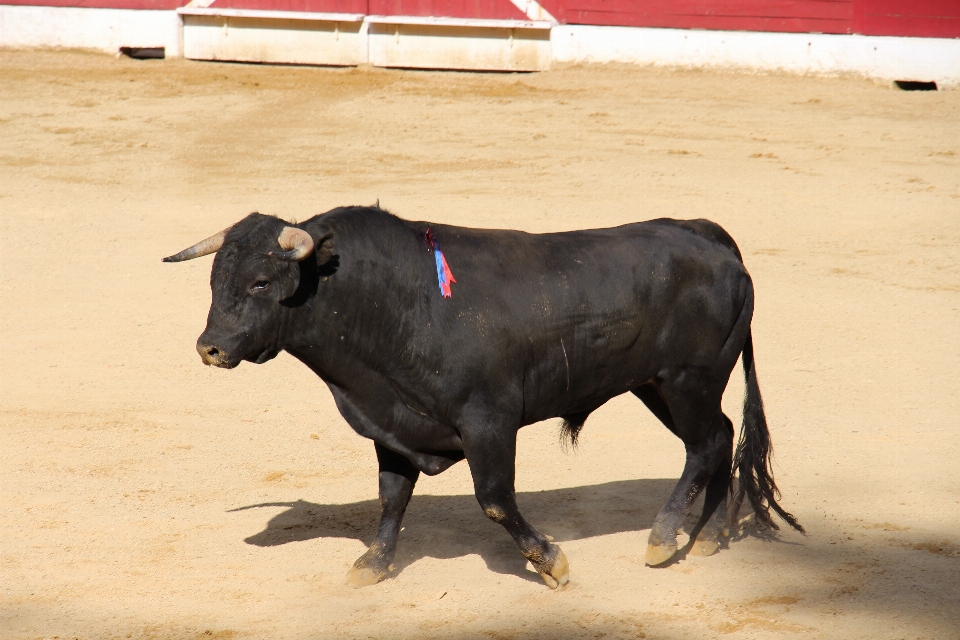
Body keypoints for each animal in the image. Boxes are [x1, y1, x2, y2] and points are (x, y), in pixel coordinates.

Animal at [165, 208, 804, 588]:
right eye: (216, 279)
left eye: (260, 282)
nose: (209, 347)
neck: (405, 303)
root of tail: (706, 234)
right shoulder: (395, 423)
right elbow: (391, 497)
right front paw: (373, 564)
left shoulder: (488, 422)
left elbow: (495, 500)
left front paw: (551, 562)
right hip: (659, 387)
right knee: (719, 438)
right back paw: (708, 536)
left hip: (688, 379)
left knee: (706, 444)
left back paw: (663, 537)